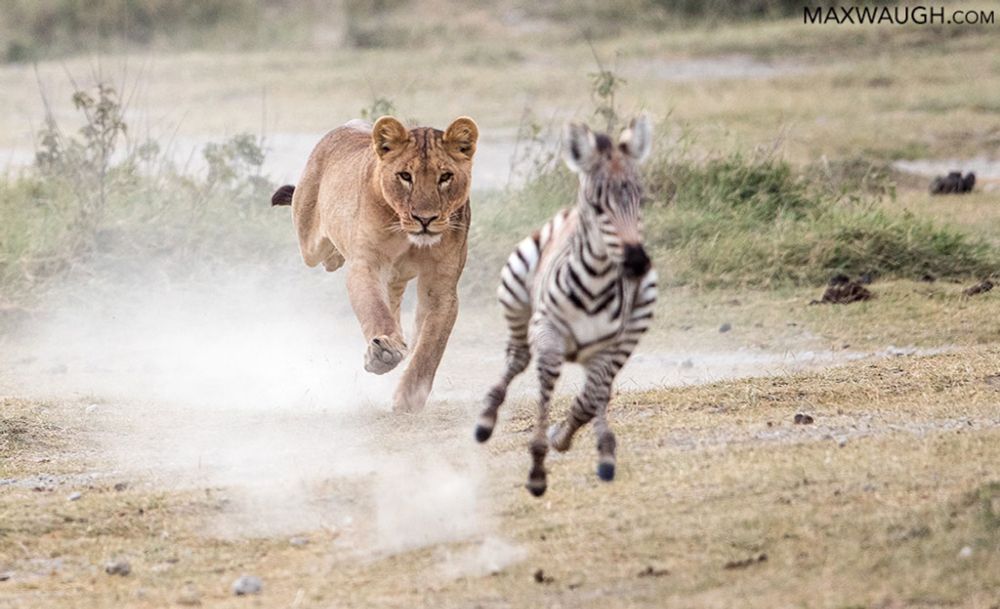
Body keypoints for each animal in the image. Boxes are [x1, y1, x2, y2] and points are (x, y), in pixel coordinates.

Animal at [474, 116, 656, 496]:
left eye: (642, 201)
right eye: (598, 208)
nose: (636, 263)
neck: (596, 284)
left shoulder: (610, 348)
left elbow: (592, 397)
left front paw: (596, 449)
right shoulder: (549, 336)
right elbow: (545, 389)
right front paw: (537, 467)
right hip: (515, 286)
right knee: (518, 356)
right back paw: (486, 418)